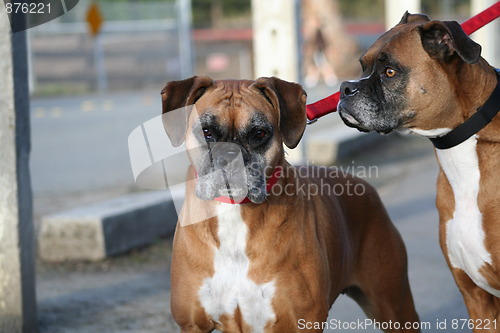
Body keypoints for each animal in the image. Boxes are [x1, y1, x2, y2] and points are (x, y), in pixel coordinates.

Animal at [165, 76, 422, 332]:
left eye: (259, 133)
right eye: (206, 131)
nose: (229, 155)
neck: (234, 212)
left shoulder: (302, 322)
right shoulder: (193, 325)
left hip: (395, 309)